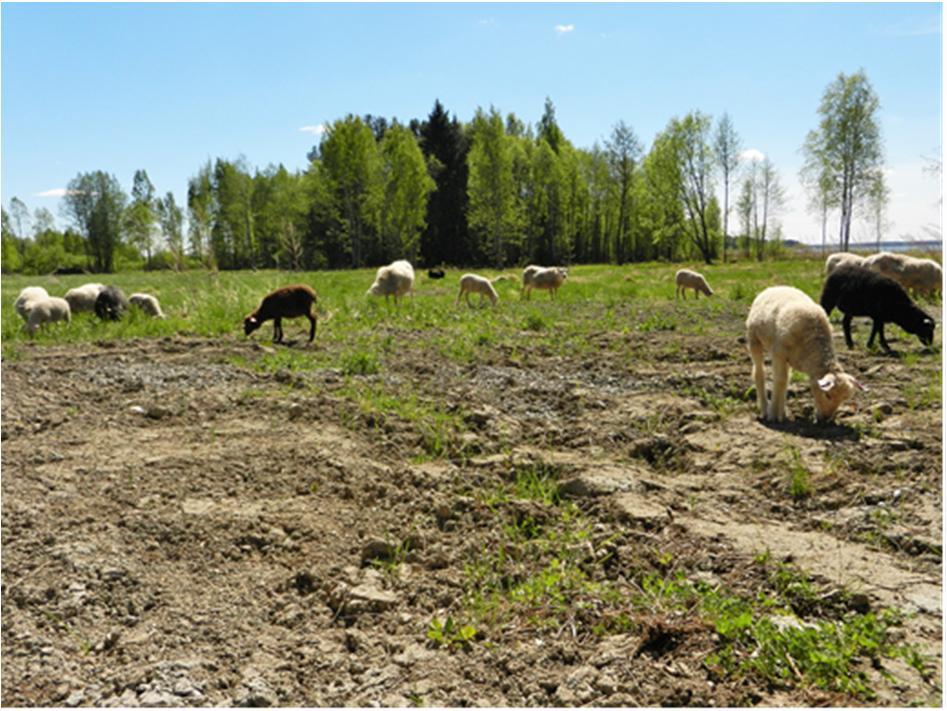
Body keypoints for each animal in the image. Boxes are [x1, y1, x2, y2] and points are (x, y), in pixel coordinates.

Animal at [748, 286, 868, 426]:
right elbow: (779, 381)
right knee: (759, 373)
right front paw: (773, 415)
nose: (826, 419)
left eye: (843, 399)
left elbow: (784, 381)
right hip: (754, 339)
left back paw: (782, 412)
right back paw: (765, 409)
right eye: (828, 395)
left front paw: (780, 413)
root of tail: (775, 287)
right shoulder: (779, 353)